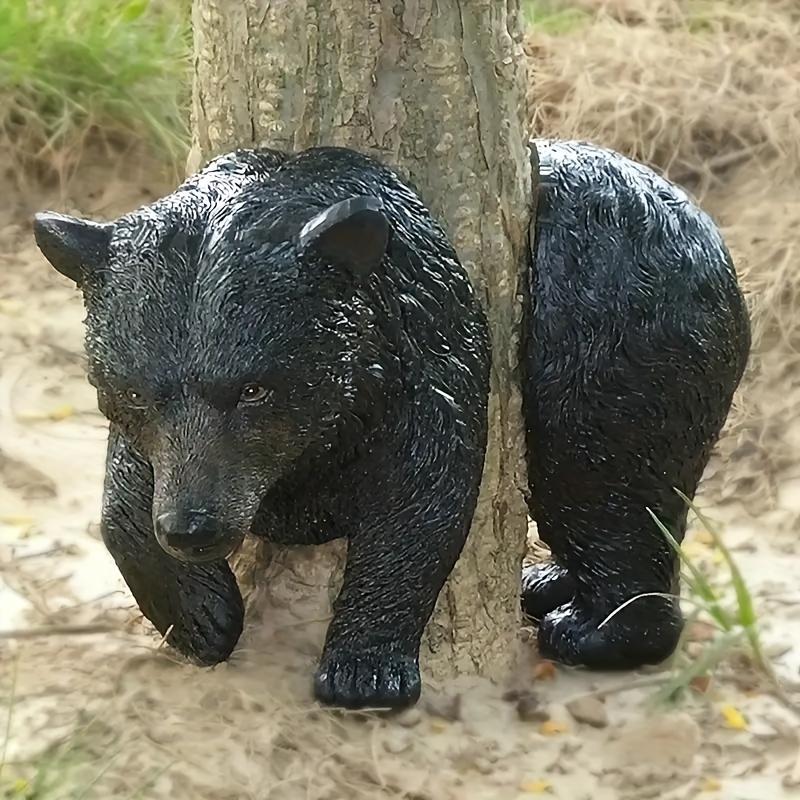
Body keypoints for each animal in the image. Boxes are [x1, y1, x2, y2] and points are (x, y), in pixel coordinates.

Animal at [33, 140, 750, 710]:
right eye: (131, 390)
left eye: (254, 388)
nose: (192, 528)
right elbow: (128, 491)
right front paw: (203, 618)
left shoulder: (423, 335)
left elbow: (421, 496)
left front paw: (363, 670)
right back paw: (549, 582)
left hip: (614, 332)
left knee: (604, 481)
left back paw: (598, 630)